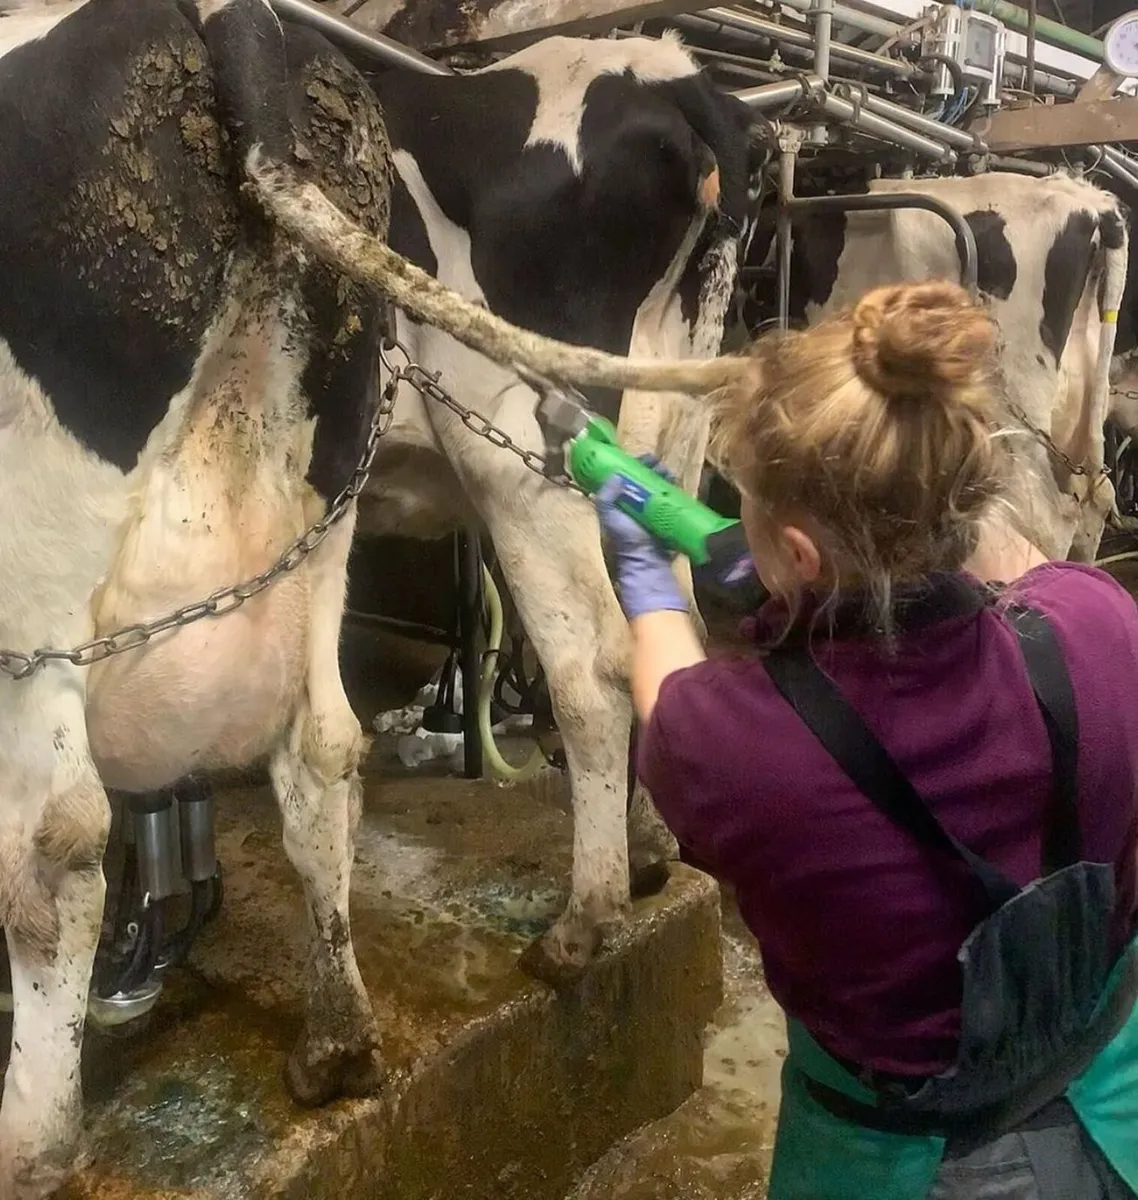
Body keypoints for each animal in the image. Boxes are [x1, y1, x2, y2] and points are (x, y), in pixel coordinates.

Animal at [348, 33, 757, 983]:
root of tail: (668, 72)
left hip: (529, 450)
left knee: (593, 668)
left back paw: (585, 919)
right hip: (668, 435)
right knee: (672, 627)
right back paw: (649, 851)